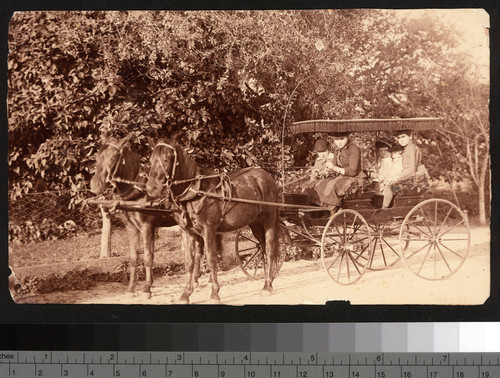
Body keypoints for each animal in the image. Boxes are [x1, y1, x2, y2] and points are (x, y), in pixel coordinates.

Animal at [91, 136, 183, 298]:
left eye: (113, 157)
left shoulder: (146, 227)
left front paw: (147, 288)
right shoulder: (131, 227)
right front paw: (131, 288)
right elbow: (134, 257)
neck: (138, 190)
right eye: (97, 156)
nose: (95, 185)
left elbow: (148, 256)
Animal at [147, 136, 282, 304]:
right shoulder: (188, 232)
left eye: (166, 159)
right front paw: (186, 294)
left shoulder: (208, 229)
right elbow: (189, 262)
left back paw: (267, 286)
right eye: (150, 160)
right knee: (263, 247)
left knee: (269, 248)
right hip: (255, 223)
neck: (196, 192)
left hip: (268, 219)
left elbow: (211, 259)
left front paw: (214, 293)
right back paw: (269, 279)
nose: (151, 188)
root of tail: (266, 176)